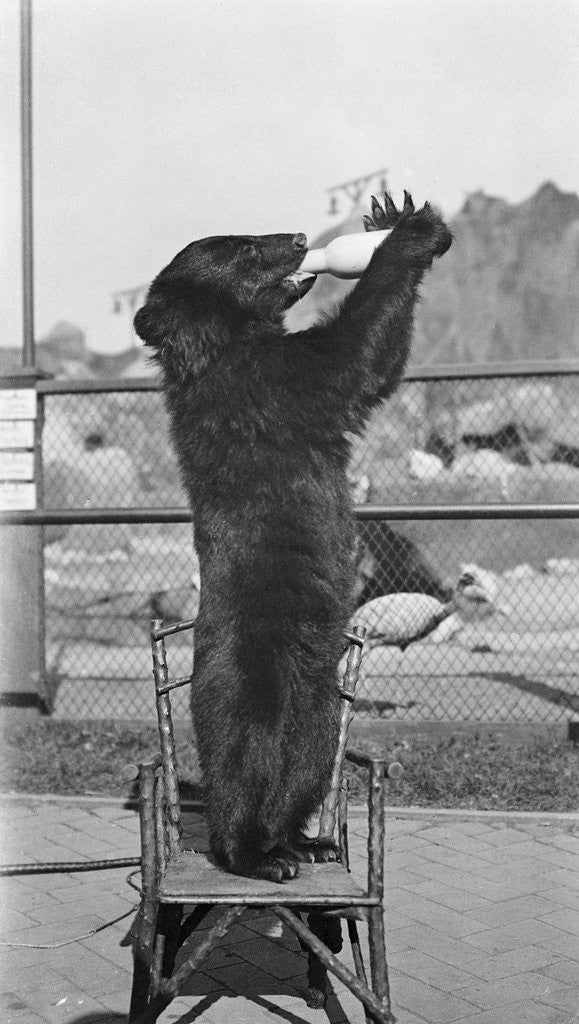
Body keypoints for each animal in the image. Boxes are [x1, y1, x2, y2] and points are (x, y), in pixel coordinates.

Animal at [134, 192, 452, 882]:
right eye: (244, 246)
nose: (302, 237)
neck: (221, 345)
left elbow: (374, 364)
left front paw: (387, 210)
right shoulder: (263, 388)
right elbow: (348, 359)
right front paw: (410, 230)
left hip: (319, 699)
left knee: (309, 761)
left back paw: (300, 843)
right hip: (252, 675)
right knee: (246, 758)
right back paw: (253, 854)